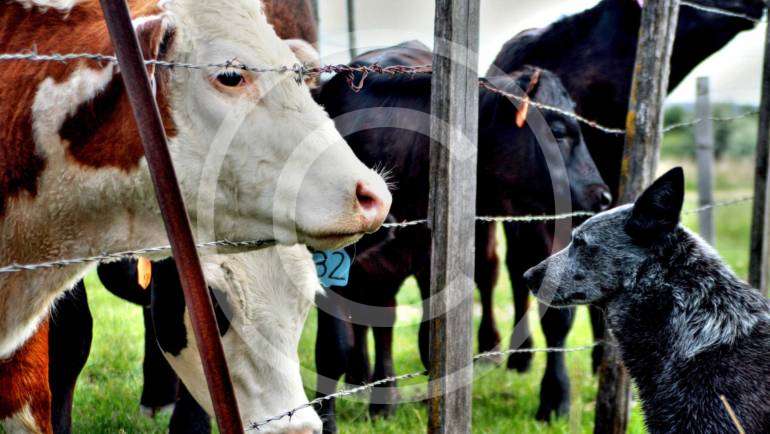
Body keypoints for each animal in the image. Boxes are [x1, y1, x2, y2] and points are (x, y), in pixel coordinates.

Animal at [485, 0, 767, 412]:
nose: (757, 5)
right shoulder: (545, 213)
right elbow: (556, 308)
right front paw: (555, 397)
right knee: (498, 271)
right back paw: (512, 356)